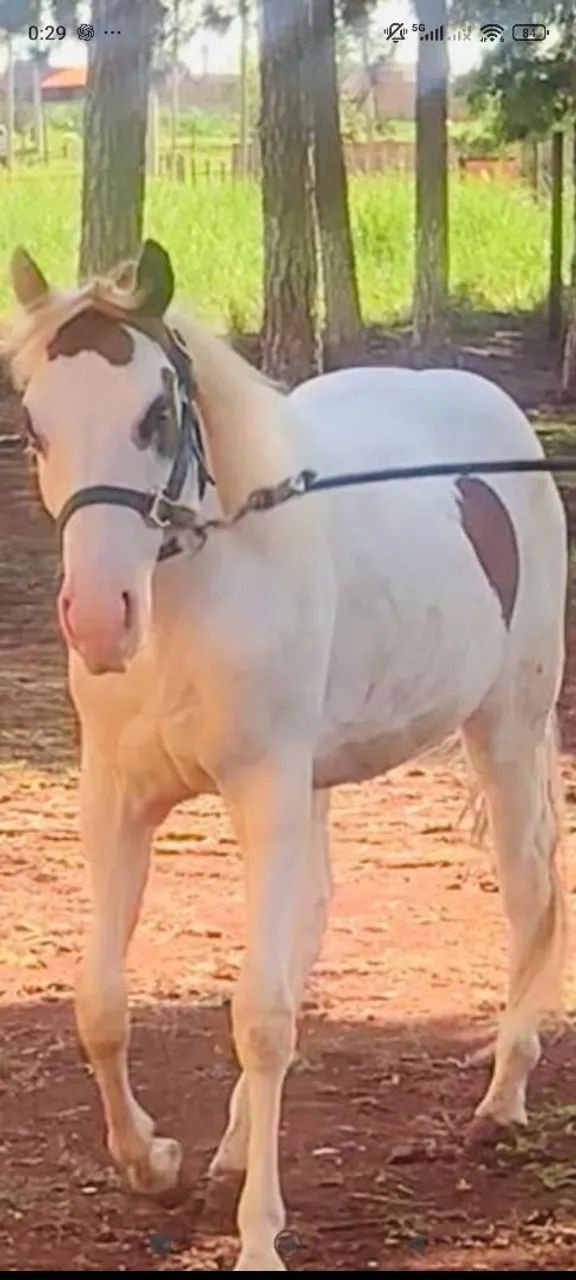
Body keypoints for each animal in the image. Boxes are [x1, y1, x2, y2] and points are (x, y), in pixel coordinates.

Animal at [5, 239, 567, 1271]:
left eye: (155, 415)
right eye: (33, 422)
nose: (100, 620)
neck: (195, 603)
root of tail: (496, 414)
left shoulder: (263, 788)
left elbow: (262, 1019)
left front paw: (260, 1237)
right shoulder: (118, 799)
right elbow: (100, 1004)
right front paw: (156, 1164)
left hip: (505, 726)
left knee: (530, 895)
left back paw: (501, 1100)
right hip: (322, 781)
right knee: (311, 922)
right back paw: (230, 1147)